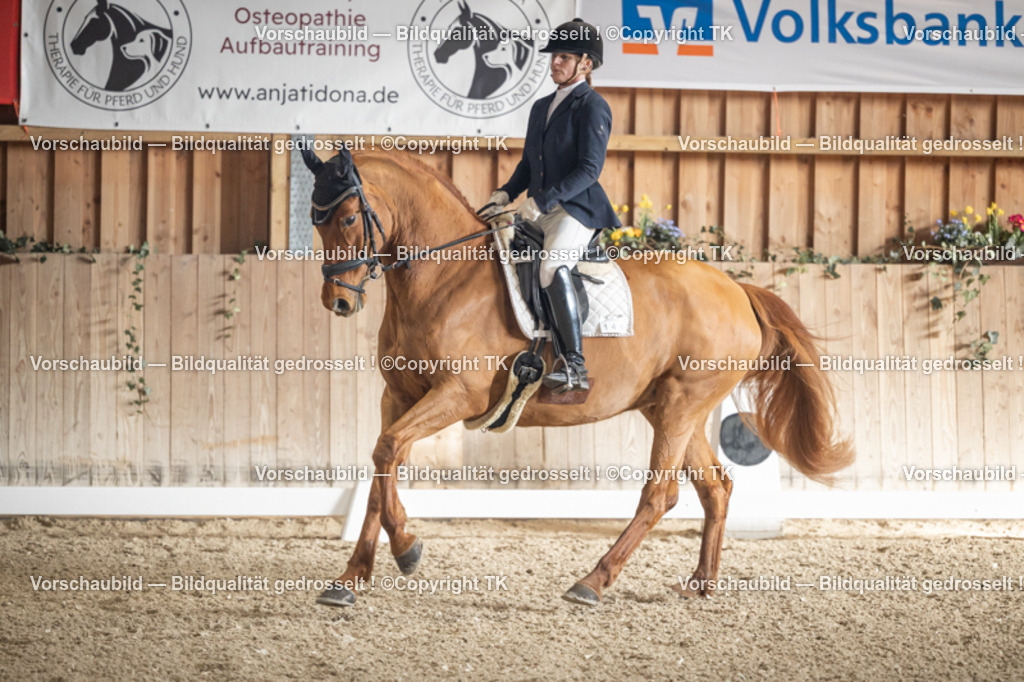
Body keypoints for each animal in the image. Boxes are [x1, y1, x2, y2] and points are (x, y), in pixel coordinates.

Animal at [302, 148, 853, 607]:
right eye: (314, 221)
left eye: (348, 217)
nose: (338, 302)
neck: (443, 278)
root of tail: (737, 290)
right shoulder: (397, 396)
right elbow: (381, 464)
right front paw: (351, 578)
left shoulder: (457, 395)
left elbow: (389, 451)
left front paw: (407, 548)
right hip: (674, 409)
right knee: (714, 488)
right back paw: (701, 583)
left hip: (682, 406)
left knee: (661, 495)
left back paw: (591, 582)